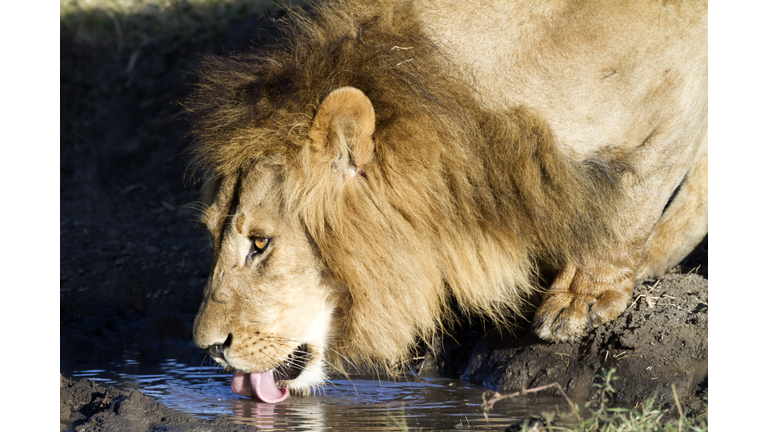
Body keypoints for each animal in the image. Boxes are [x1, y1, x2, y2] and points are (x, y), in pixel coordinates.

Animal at [185, 0, 707, 402]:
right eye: (211, 234)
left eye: (260, 243)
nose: (207, 347)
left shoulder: (682, 86)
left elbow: (638, 190)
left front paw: (585, 297)